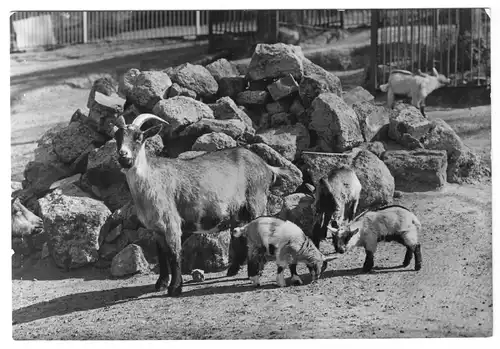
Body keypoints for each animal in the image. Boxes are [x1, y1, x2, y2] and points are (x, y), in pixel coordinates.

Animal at [111, 110, 292, 294]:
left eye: (138, 137)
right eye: (117, 137)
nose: (123, 156)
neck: (151, 181)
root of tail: (266, 166)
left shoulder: (172, 224)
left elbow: (174, 255)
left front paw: (175, 287)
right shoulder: (156, 229)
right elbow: (162, 255)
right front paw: (161, 284)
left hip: (257, 200)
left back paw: (255, 271)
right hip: (238, 212)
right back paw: (234, 270)